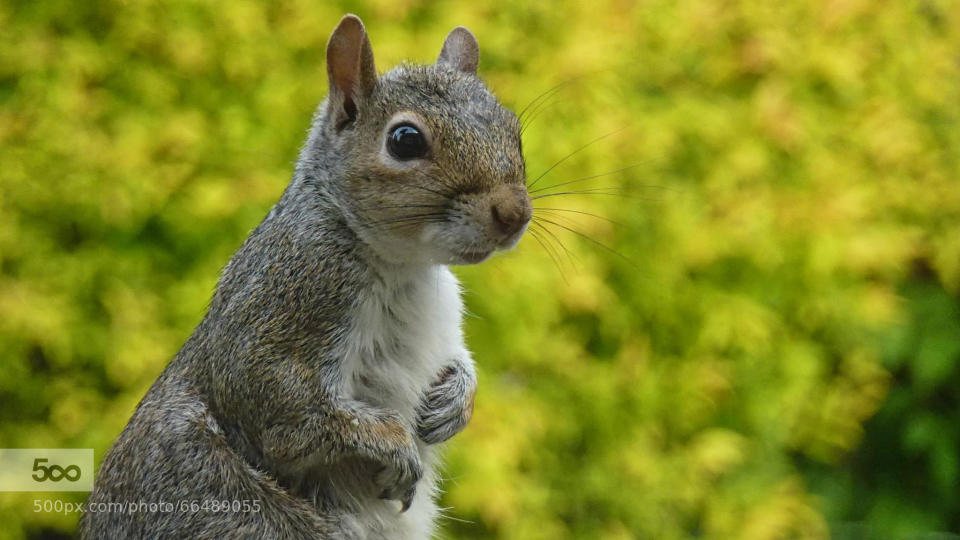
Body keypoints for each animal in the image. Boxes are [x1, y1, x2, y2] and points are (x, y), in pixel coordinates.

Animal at [80, 12, 532, 540]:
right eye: (405, 140)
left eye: (512, 127)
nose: (515, 213)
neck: (405, 266)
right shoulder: (289, 300)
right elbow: (287, 411)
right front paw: (395, 446)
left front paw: (457, 401)